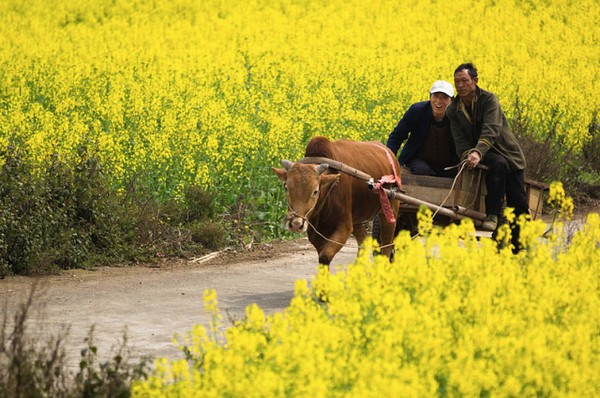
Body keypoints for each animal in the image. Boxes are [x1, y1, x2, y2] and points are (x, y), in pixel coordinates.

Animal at [274, 137, 400, 268]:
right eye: (286, 187)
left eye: (315, 191)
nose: (296, 224)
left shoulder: (344, 227)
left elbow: (325, 257)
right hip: (357, 218)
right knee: (364, 239)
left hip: (390, 209)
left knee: (387, 245)